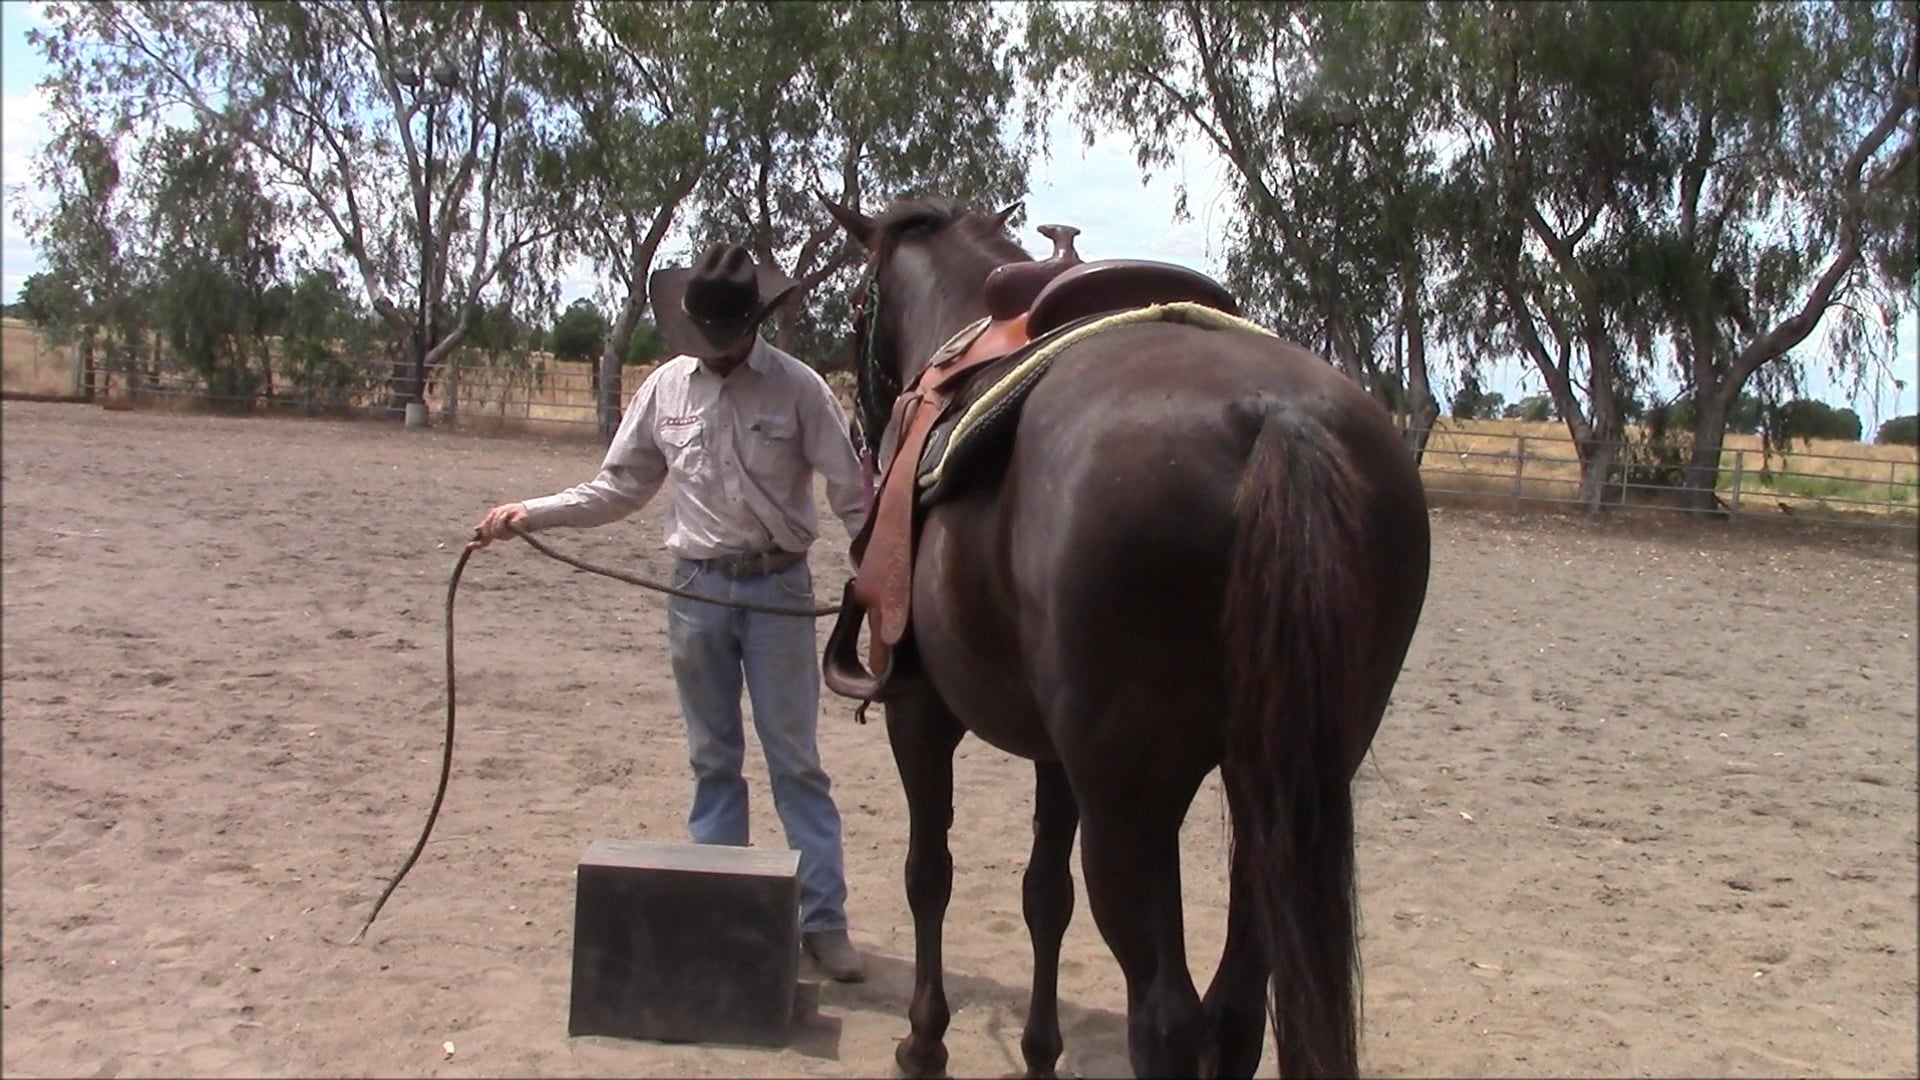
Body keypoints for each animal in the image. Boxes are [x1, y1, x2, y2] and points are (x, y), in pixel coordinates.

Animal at [819, 195, 1432, 1079]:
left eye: (858, 306)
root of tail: (1275, 417)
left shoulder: (920, 714)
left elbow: (929, 872)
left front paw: (924, 1042)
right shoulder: (1057, 756)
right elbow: (1044, 896)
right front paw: (1039, 1053)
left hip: (1132, 808)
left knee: (1168, 1019)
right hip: (1279, 791)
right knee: (1238, 1008)